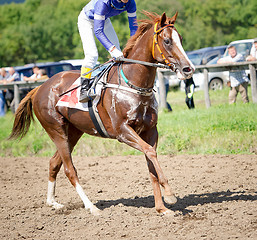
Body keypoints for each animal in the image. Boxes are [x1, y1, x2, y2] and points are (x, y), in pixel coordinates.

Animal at [11, 12, 193, 216]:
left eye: (181, 39)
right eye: (167, 41)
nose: (188, 69)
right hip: (56, 130)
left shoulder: (150, 130)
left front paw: (162, 208)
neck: (132, 83)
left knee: (53, 163)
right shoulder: (122, 131)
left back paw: (53, 202)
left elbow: (151, 160)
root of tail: (39, 88)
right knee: (69, 169)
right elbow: (150, 152)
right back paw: (91, 206)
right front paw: (169, 194)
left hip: (73, 132)